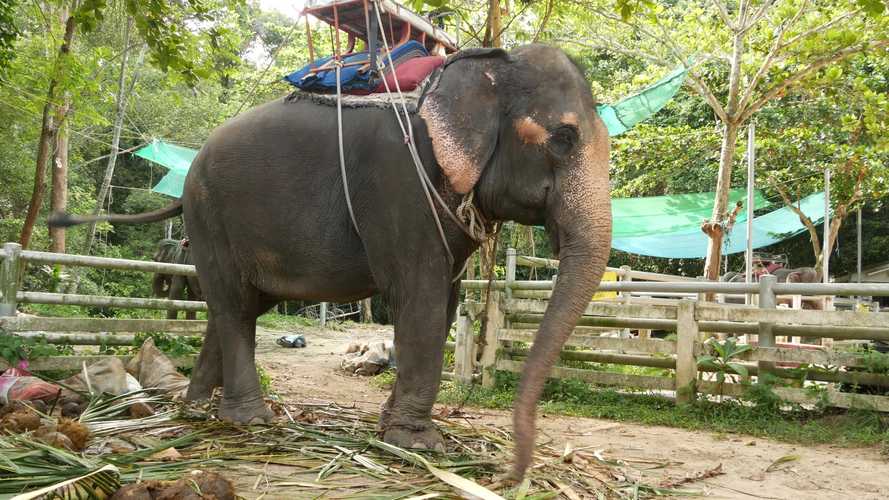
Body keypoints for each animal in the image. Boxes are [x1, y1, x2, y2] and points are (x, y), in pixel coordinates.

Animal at [49, 45, 612, 480]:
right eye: (562, 138)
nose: (512, 472)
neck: (475, 67)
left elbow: (446, 301)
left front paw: (391, 430)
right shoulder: (400, 185)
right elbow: (421, 297)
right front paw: (420, 446)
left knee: (233, 308)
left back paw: (196, 410)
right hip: (210, 217)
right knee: (232, 306)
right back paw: (250, 422)